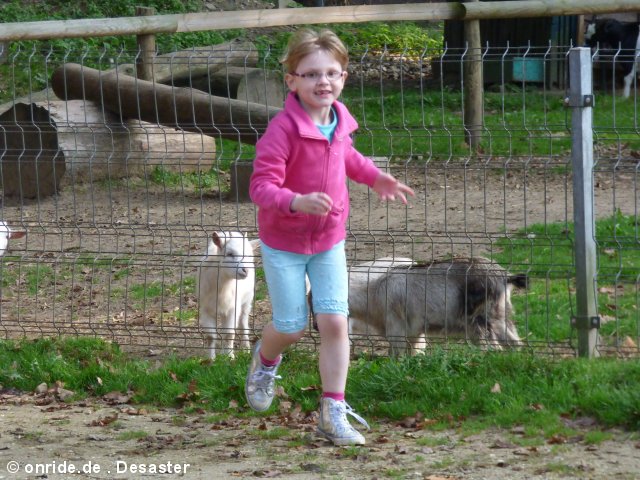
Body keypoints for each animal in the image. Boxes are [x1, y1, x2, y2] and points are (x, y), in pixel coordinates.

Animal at [348, 256, 527, 356]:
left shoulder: (397, 330)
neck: (374, 291)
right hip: (499, 316)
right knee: (514, 343)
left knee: (493, 348)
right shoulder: (415, 334)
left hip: (479, 322)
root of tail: (505, 277)